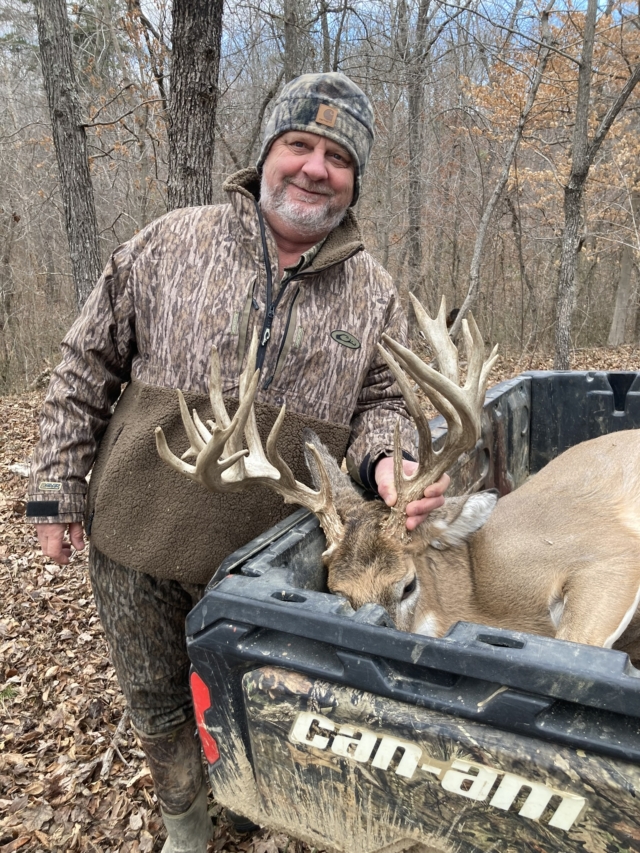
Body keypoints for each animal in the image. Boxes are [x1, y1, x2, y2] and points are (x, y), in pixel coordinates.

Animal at [154, 297, 640, 667]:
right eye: (339, 593)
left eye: (407, 585)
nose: (379, 637)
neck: (479, 600)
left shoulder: (609, 554)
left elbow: (574, 639)